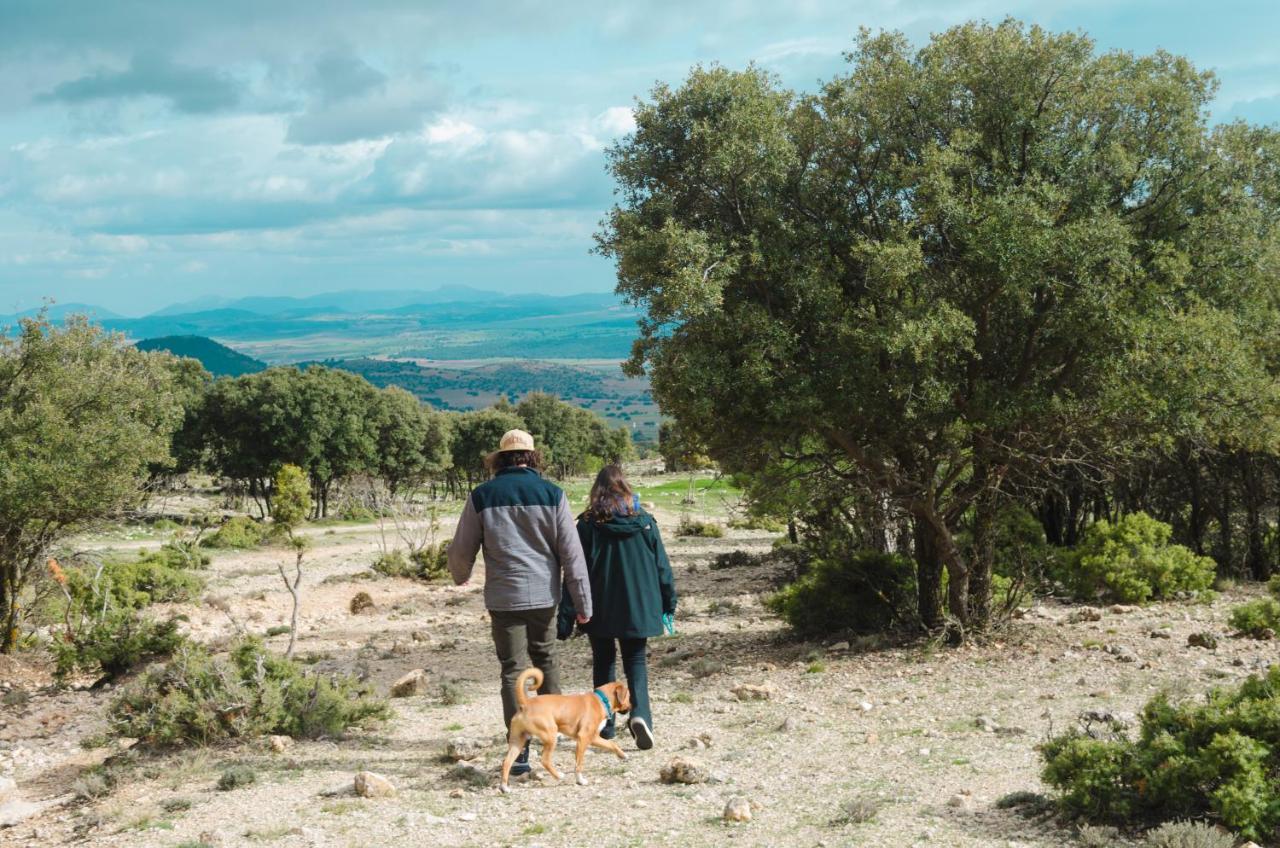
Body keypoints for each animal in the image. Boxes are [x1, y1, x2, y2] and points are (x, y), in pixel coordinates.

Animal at [499, 671, 629, 799]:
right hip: (550, 737)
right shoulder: (583, 738)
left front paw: (623, 755)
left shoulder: (594, 738)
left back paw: (505, 787)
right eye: (629, 696)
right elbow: (578, 764)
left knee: (507, 762)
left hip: (518, 741)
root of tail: (526, 703)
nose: (631, 706)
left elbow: (612, 744)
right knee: (545, 760)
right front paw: (580, 780)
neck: (601, 700)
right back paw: (559, 776)